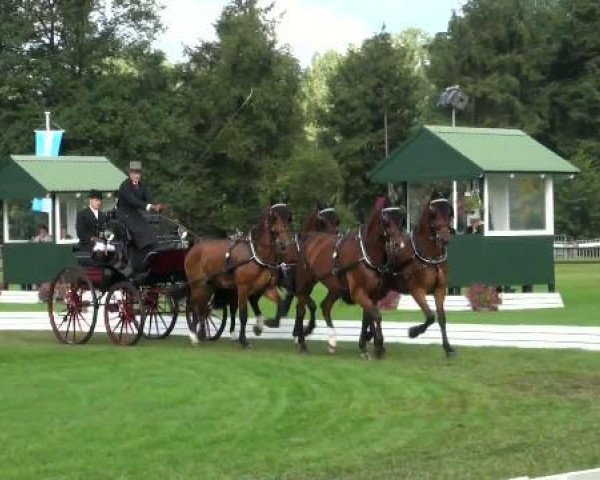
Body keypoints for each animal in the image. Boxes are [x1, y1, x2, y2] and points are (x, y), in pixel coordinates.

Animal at [185, 203, 292, 348]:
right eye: (274, 218)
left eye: (288, 219)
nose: (284, 244)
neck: (256, 254)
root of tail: (193, 248)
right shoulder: (243, 287)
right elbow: (243, 314)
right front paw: (243, 340)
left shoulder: (266, 288)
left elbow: (280, 304)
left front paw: (267, 324)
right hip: (198, 285)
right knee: (194, 306)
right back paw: (193, 336)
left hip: (209, 286)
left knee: (202, 308)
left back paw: (200, 335)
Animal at [292, 204, 412, 358]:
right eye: (386, 221)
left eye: (401, 221)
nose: (400, 245)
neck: (366, 254)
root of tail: (309, 238)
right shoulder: (358, 293)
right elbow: (376, 316)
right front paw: (378, 345)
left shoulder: (373, 295)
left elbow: (368, 317)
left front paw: (366, 345)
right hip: (304, 284)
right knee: (301, 310)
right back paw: (302, 343)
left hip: (335, 288)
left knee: (325, 306)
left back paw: (332, 342)